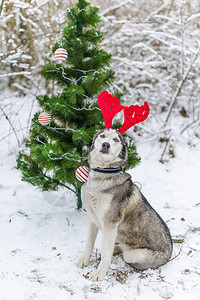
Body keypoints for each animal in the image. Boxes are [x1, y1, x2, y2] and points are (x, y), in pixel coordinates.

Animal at [76, 129, 172, 282]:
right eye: (102, 136)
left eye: (116, 140)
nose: (105, 144)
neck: (100, 177)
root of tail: (171, 251)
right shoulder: (92, 218)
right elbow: (89, 243)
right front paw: (84, 260)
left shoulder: (110, 223)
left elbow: (106, 254)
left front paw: (99, 273)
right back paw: (116, 247)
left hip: (134, 255)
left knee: (125, 253)